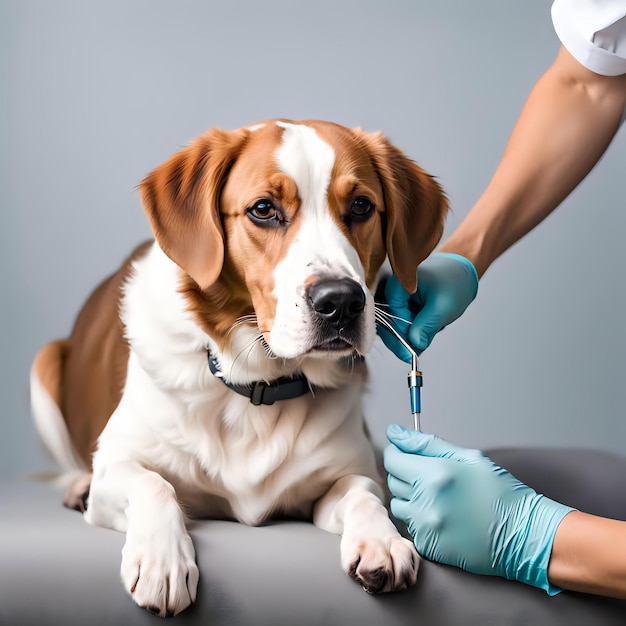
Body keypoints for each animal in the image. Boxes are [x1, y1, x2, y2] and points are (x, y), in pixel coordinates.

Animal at [30, 119, 448, 616]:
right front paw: (162, 561)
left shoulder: (348, 473)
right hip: (43, 365)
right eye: (264, 209)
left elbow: (365, 494)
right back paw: (78, 486)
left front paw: (381, 541)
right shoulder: (119, 463)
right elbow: (155, 485)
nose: (341, 302)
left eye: (362, 206)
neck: (258, 385)